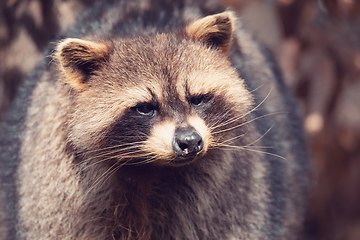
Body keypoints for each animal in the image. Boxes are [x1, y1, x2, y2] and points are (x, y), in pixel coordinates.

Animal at [0, 0, 310, 239]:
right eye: (145, 108)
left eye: (197, 99)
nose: (190, 141)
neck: (149, 168)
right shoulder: (62, 198)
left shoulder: (233, 193)